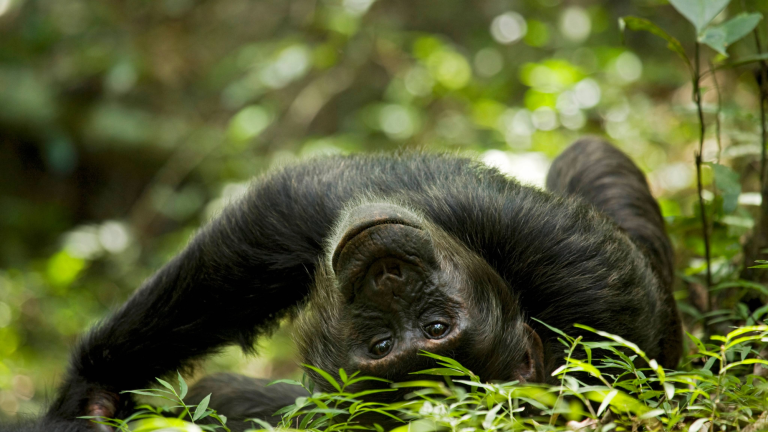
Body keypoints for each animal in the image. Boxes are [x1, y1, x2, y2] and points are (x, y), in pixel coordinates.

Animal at [0, 138, 681, 432]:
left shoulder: (577, 270)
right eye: (382, 345)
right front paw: (90, 395)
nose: (387, 275)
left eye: (434, 327)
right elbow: (282, 220)